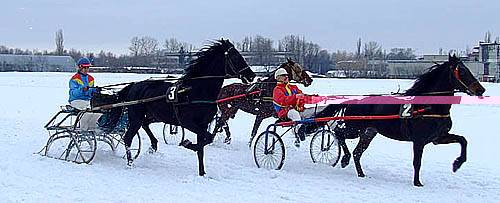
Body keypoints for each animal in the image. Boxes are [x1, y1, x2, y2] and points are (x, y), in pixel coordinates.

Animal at [112, 40, 256, 176]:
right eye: (236, 56)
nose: (252, 75)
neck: (196, 91)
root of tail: (134, 85)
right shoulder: (188, 123)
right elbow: (208, 138)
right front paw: (188, 144)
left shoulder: (203, 124)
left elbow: (204, 145)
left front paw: (202, 172)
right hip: (136, 117)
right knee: (128, 137)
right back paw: (130, 163)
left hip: (154, 116)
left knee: (145, 124)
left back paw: (153, 145)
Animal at [316, 54, 484, 186]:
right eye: (461, 71)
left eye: (467, 69)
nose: (481, 89)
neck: (428, 107)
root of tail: (355, 101)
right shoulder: (419, 140)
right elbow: (417, 162)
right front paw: (417, 183)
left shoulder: (438, 137)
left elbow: (463, 140)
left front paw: (457, 164)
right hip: (355, 128)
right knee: (339, 133)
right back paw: (344, 159)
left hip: (368, 132)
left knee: (357, 152)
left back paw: (361, 173)